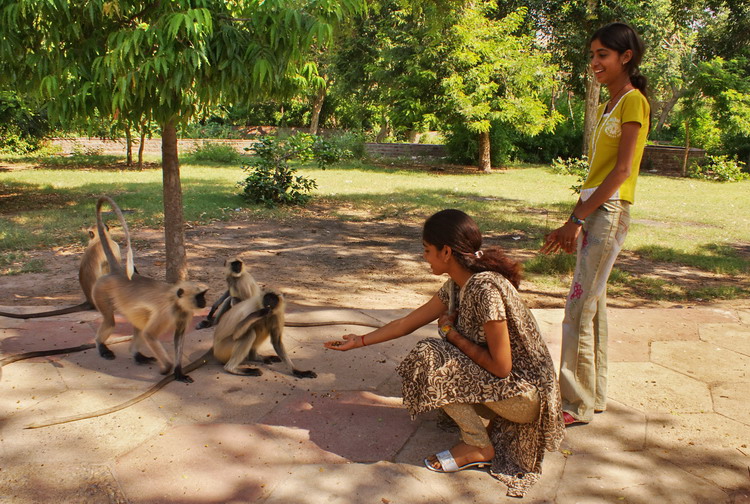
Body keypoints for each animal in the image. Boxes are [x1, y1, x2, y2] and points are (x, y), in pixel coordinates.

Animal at [92, 196, 209, 382]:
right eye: (199, 296)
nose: (204, 302)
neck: (175, 302)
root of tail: (117, 272)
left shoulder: (184, 312)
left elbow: (178, 337)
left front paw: (178, 372)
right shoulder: (166, 312)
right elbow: (150, 335)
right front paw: (166, 368)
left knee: (140, 324)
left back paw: (136, 354)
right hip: (100, 290)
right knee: (111, 321)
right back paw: (101, 346)